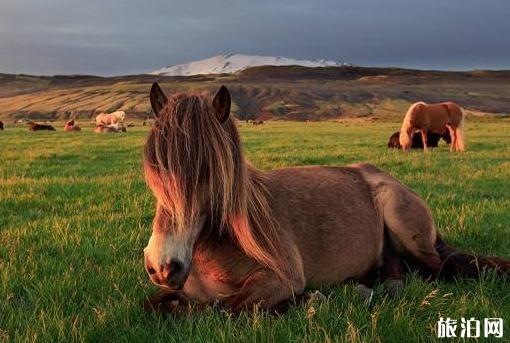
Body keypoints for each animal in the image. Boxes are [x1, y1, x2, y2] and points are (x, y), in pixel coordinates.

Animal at [140, 82, 510, 314]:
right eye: (154, 169)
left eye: (209, 172)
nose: (163, 265)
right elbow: (156, 305)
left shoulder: (280, 279)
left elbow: (223, 309)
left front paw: (307, 301)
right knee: (395, 268)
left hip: (402, 221)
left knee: (439, 269)